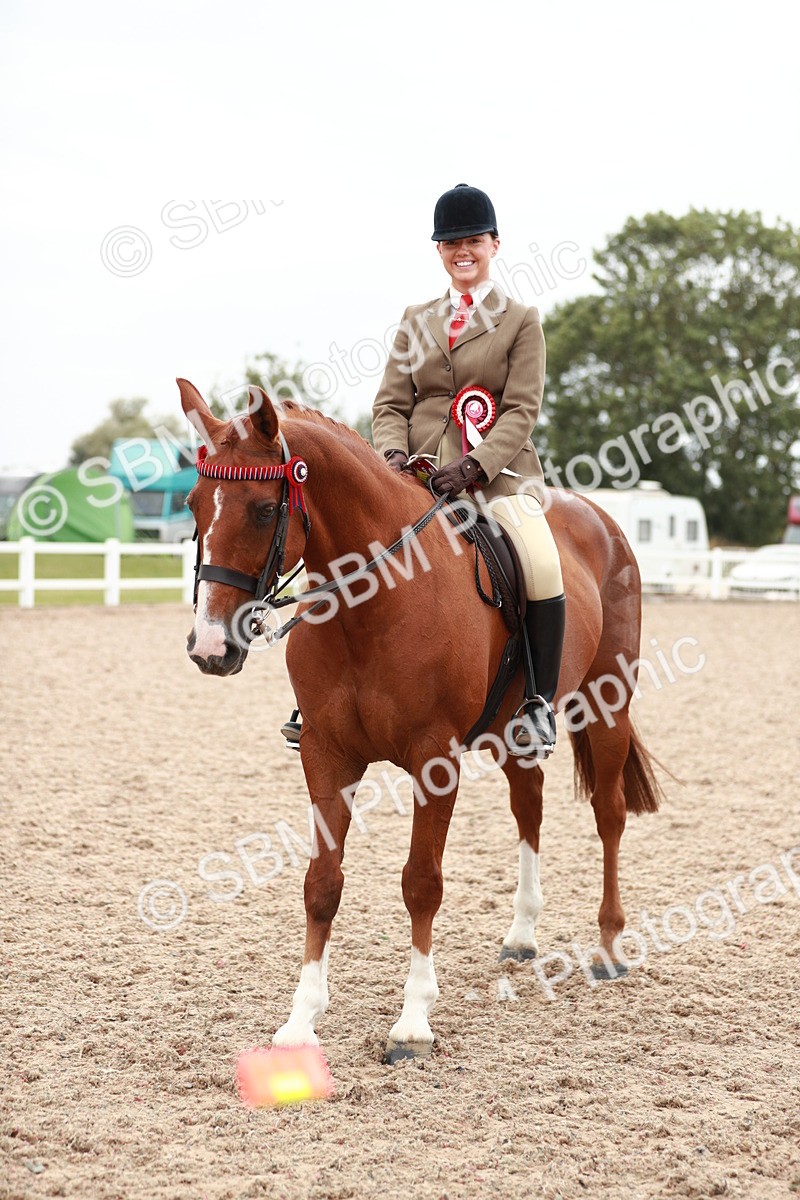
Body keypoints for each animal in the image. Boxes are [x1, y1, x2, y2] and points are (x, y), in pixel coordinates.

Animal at [178, 377, 662, 1060]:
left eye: (264, 511)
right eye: (194, 505)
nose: (210, 647)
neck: (371, 604)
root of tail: (601, 519)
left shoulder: (434, 759)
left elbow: (421, 882)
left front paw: (412, 1023)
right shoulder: (327, 754)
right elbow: (322, 883)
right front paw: (301, 1022)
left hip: (609, 702)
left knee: (610, 813)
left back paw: (611, 945)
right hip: (514, 732)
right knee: (530, 806)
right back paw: (522, 935)